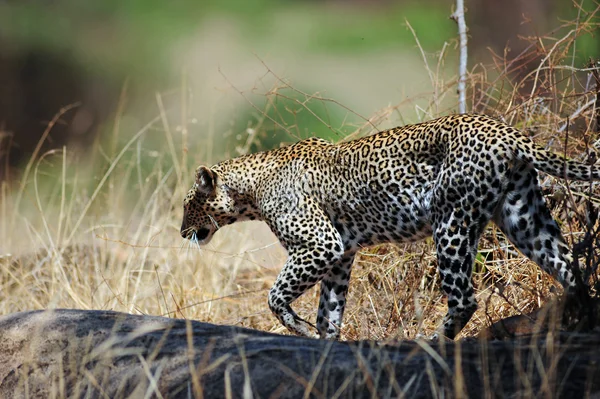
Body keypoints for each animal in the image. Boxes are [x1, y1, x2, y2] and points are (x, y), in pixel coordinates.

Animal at [180, 114, 596, 342]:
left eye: (187, 205)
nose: (182, 231)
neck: (250, 187)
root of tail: (506, 130)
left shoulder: (320, 244)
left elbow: (275, 295)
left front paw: (300, 329)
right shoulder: (340, 255)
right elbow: (329, 309)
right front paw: (325, 340)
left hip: (452, 222)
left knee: (465, 297)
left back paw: (430, 342)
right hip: (523, 217)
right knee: (571, 269)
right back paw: (582, 322)